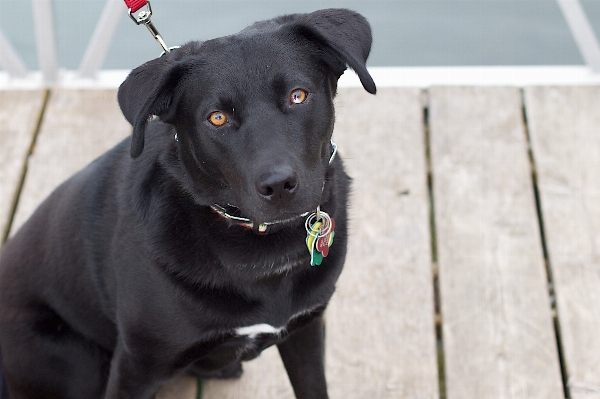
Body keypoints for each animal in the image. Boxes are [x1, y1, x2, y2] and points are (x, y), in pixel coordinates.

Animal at [0, 9, 376, 399]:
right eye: (217, 118)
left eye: (298, 95)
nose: (279, 185)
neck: (261, 251)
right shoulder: (136, 365)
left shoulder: (305, 329)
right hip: (77, 364)